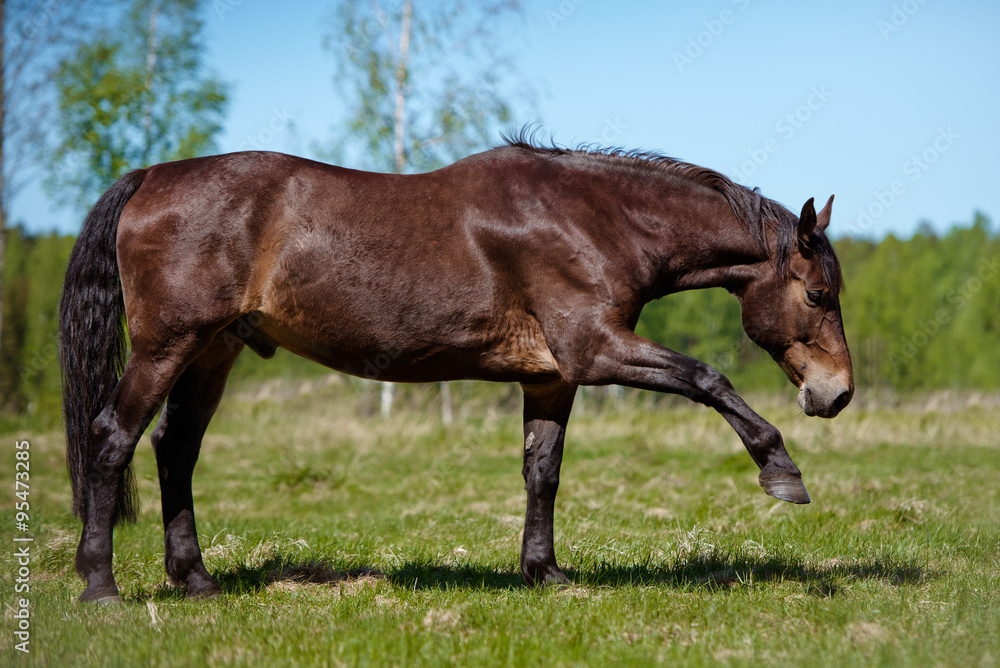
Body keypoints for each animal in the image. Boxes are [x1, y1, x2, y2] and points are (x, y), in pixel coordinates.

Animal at [59, 132, 853, 603]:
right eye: (818, 294)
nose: (837, 394)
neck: (592, 218)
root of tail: (150, 177)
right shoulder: (595, 349)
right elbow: (709, 379)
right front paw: (781, 470)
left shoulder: (552, 377)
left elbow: (543, 473)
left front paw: (545, 571)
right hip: (167, 347)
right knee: (112, 439)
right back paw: (100, 585)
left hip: (212, 352)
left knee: (175, 450)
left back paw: (195, 578)